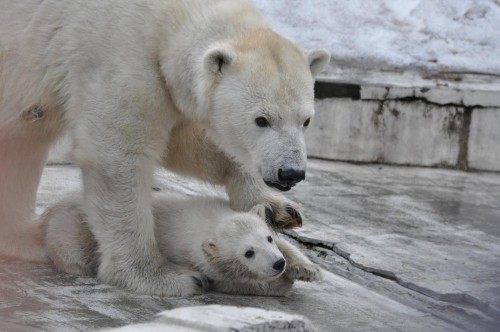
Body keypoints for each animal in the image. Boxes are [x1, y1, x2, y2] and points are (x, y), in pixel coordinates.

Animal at [0, 0, 330, 296]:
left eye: (306, 120)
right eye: (261, 119)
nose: (290, 173)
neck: (167, 17)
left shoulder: (167, 86)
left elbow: (186, 144)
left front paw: (277, 209)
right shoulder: (118, 59)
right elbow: (119, 155)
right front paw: (164, 277)